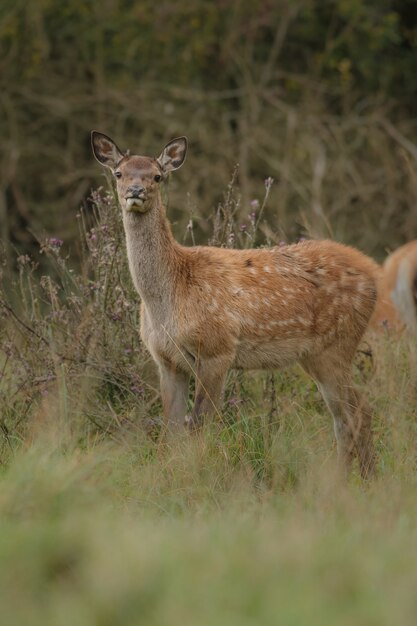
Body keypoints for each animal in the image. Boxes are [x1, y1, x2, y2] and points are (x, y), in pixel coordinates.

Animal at [92, 129, 378, 476]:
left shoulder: (218, 350)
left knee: (357, 410)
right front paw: (168, 474)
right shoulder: (167, 360)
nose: (136, 191)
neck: (170, 296)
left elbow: (199, 426)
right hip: (317, 354)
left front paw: (197, 475)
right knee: (348, 413)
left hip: (336, 345)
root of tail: (374, 273)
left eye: (158, 176)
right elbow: (170, 431)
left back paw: (356, 478)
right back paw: (352, 478)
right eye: (118, 173)